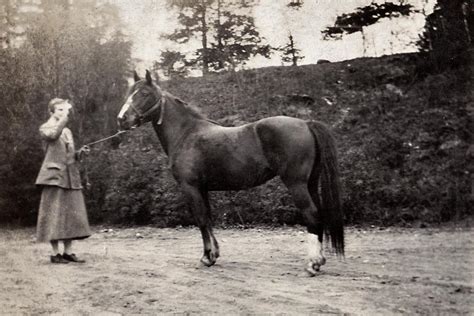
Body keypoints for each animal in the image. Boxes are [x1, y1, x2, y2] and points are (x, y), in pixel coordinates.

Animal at [116, 70, 342, 276]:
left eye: (144, 93)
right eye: (129, 92)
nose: (121, 119)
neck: (187, 133)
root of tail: (306, 123)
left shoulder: (190, 188)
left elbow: (201, 219)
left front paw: (207, 257)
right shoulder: (202, 189)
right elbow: (208, 218)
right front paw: (213, 254)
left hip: (296, 184)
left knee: (311, 214)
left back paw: (312, 264)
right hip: (310, 183)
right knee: (319, 215)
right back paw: (319, 260)